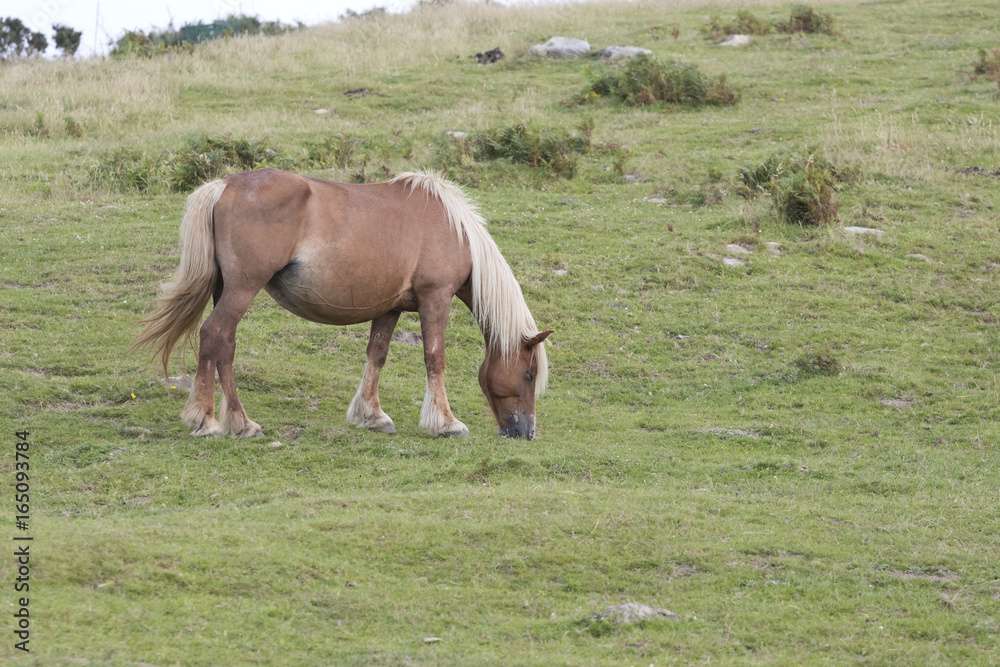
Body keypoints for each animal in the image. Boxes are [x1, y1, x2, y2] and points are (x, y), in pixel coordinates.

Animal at [132, 168, 552, 440]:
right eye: (529, 374)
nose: (526, 432)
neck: (454, 229)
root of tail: (225, 184)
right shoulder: (436, 298)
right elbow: (435, 358)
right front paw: (446, 423)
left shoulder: (390, 307)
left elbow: (377, 355)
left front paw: (372, 415)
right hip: (242, 288)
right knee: (213, 336)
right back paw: (207, 422)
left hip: (228, 290)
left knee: (226, 347)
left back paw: (240, 422)